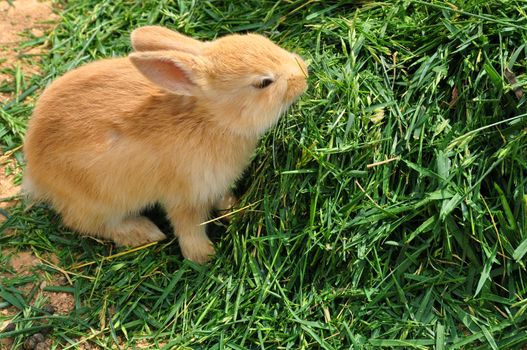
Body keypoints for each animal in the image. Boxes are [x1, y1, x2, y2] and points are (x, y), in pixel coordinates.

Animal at [21, 26, 310, 262]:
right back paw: (143, 232)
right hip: (98, 201)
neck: (211, 120)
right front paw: (203, 256)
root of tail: (35, 171)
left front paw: (232, 206)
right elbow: (188, 226)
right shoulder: (185, 195)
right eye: (264, 82)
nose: (304, 72)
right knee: (86, 223)